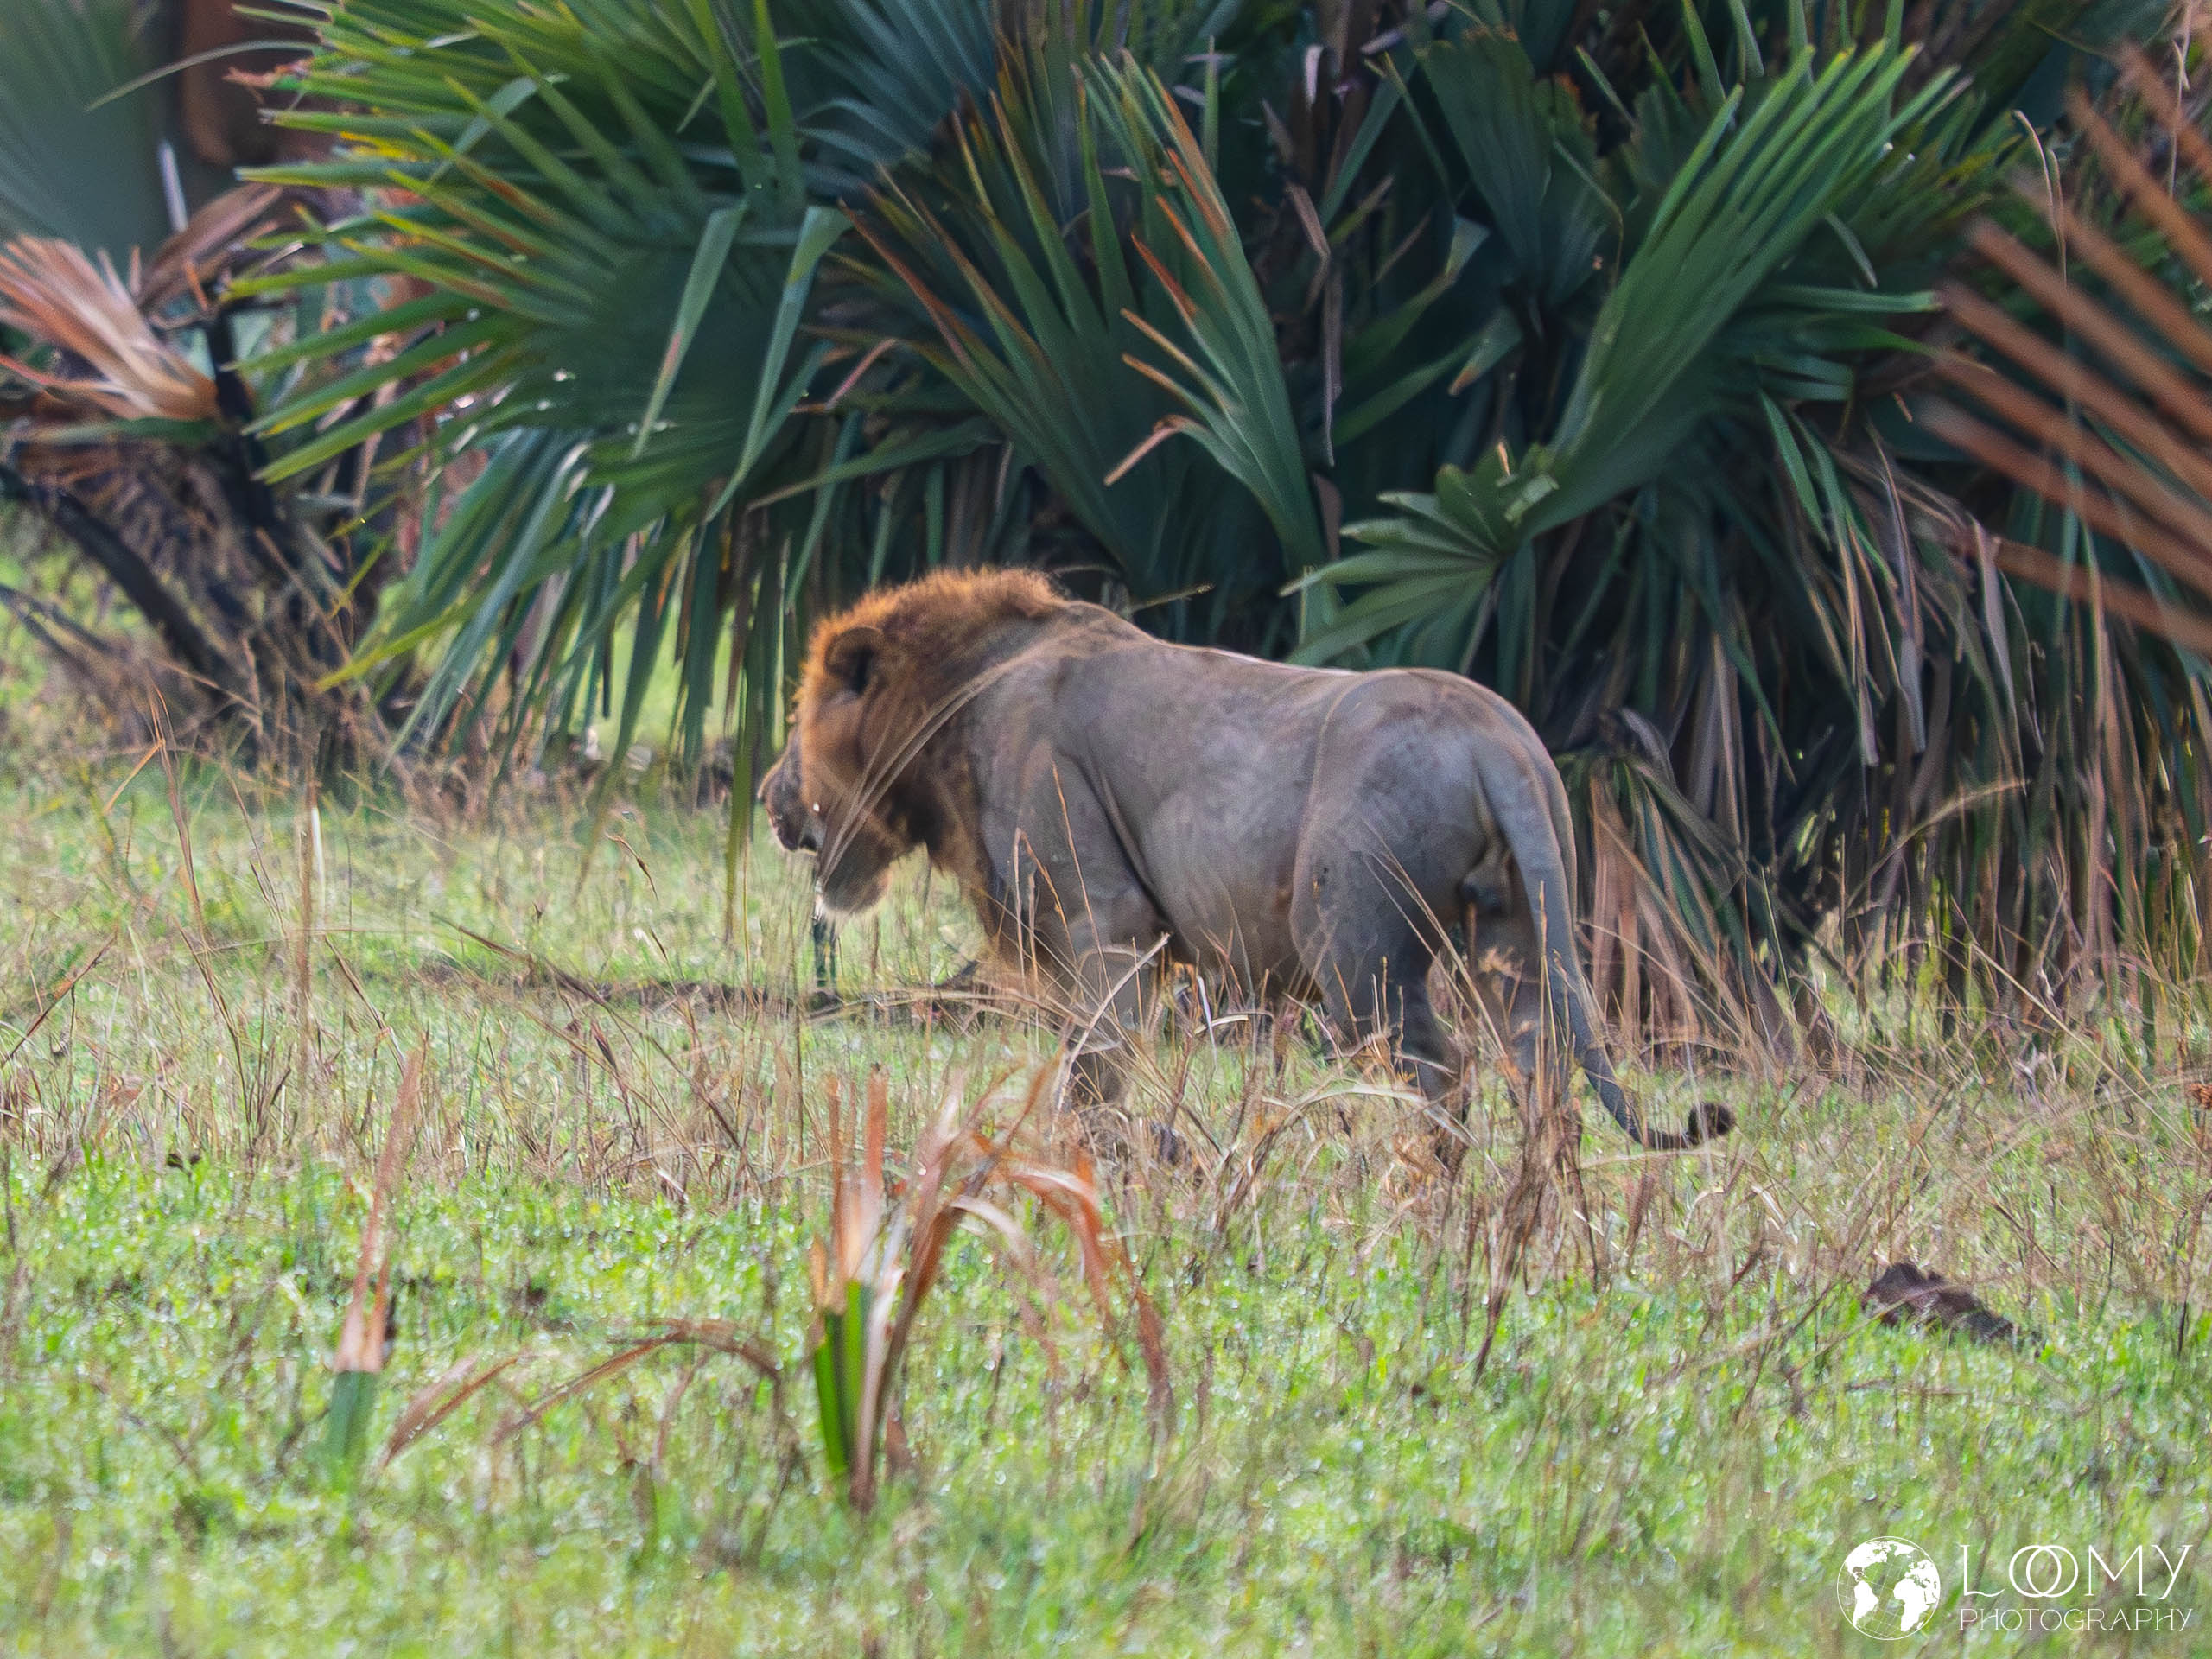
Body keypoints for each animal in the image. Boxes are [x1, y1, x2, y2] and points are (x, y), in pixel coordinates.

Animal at [764, 569, 1728, 1152]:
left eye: (797, 719)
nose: (770, 797)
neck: (957, 702)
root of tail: (1501, 737)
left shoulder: (1105, 920)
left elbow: (1093, 1072)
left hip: (1357, 954)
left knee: (1447, 1071)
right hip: (1519, 934)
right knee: (1544, 1077)